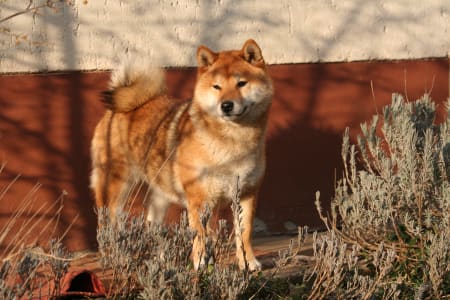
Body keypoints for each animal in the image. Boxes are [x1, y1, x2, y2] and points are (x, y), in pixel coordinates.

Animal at [90, 38, 274, 270]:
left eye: (241, 83)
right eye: (217, 87)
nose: (226, 105)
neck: (232, 141)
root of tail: (119, 109)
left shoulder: (246, 194)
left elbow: (244, 233)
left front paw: (248, 262)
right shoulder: (198, 198)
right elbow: (201, 234)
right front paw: (201, 262)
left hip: (159, 194)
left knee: (153, 227)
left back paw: (161, 261)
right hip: (115, 187)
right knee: (106, 226)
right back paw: (113, 258)